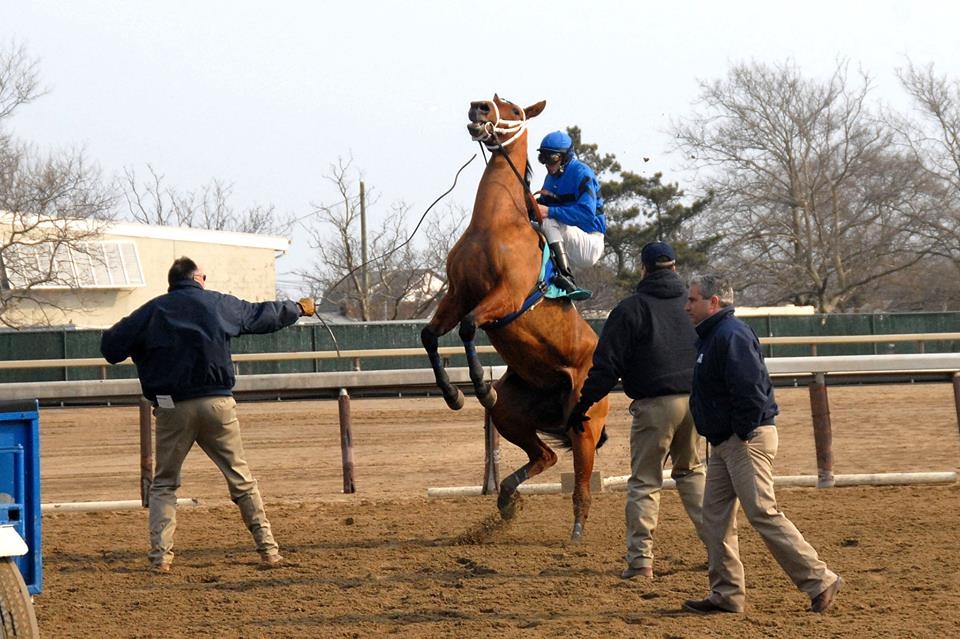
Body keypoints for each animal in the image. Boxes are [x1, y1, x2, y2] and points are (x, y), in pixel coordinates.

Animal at [420, 95, 608, 544]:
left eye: (509, 107)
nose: (479, 108)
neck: (494, 223)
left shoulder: (503, 298)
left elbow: (469, 326)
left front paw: (477, 387)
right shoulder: (457, 294)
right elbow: (430, 336)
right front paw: (453, 395)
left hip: (584, 420)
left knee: (581, 479)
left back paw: (577, 530)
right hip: (513, 414)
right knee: (545, 456)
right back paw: (506, 499)